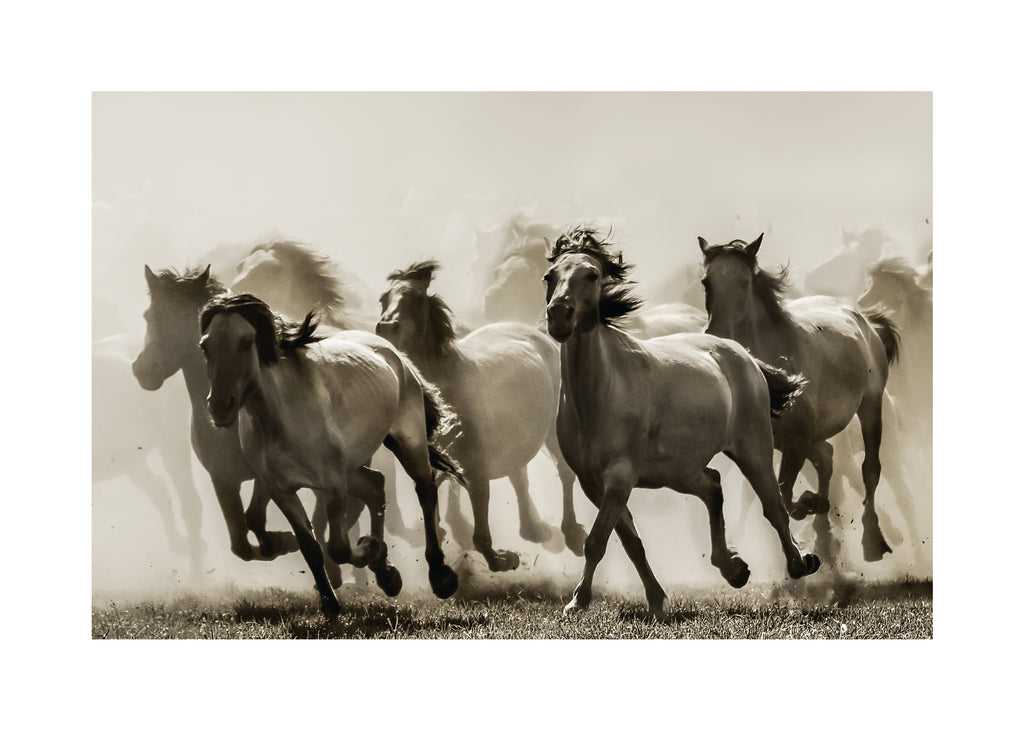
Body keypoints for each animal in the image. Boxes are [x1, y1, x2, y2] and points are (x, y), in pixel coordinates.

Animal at [199, 294, 463, 615]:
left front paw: (369, 548)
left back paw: (440, 577)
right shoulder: (280, 489)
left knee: (424, 490)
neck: (281, 416)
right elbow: (310, 546)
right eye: (205, 346)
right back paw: (387, 576)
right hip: (352, 467)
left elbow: (337, 546)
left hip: (407, 442)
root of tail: (394, 354)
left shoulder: (332, 482)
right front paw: (330, 603)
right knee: (375, 485)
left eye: (246, 341)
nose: (219, 407)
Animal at [376, 260, 589, 570]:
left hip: (552, 430)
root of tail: (539, 335)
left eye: (414, 299)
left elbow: (479, 514)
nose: (385, 328)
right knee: (519, 475)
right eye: (384, 299)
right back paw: (533, 529)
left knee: (563, 473)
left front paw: (499, 559)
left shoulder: (476, 466)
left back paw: (571, 533)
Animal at [544, 227, 819, 619]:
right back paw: (733, 568)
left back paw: (799, 563)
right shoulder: (592, 483)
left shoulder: (620, 476)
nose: (559, 316)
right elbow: (630, 542)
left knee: (774, 506)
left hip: (752, 449)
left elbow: (597, 540)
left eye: (592, 275)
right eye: (550, 276)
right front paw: (656, 601)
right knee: (713, 486)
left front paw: (577, 601)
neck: (600, 393)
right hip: (678, 470)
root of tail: (743, 354)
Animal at [698, 233, 900, 563]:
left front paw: (808, 509)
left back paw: (872, 541)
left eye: (744, 281)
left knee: (869, 469)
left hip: (870, 406)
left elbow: (784, 495)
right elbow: (783, 496)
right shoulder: (773, 444)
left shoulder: (797, 440)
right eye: (706, 281)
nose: (717, 333)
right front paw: (812, 508)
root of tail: (863, 319)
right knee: (827, 457)